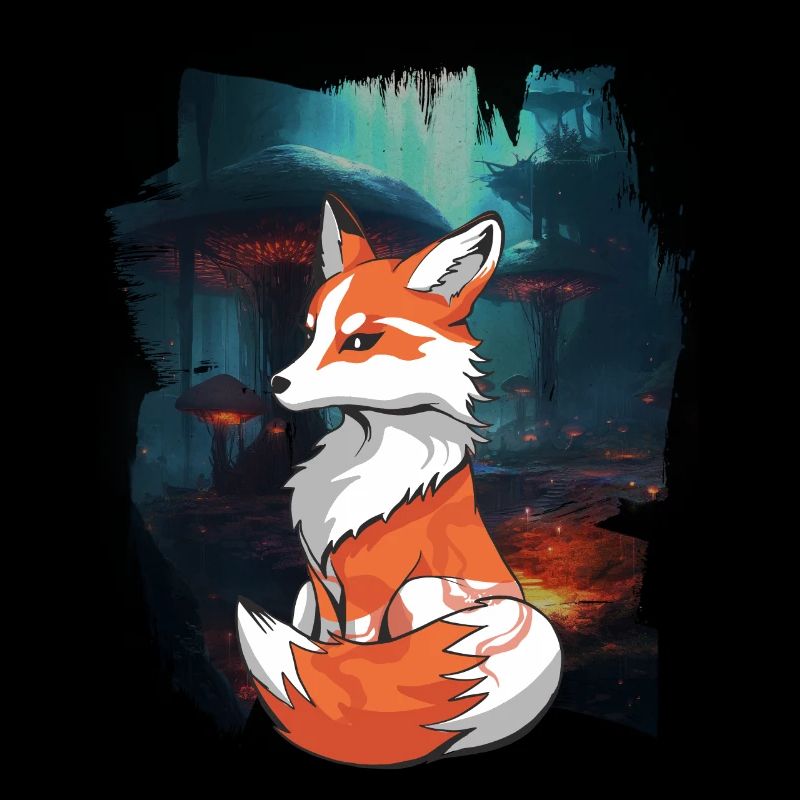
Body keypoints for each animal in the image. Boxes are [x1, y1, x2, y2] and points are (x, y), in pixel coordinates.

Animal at [237, 194, 562, 767]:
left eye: (360, 340)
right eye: (311, 334)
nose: (277, 383)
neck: (360, 461)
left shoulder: (373, 586)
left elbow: (354, 660)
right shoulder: (319, 580)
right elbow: (325, 651)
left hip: (423, 590)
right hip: (305, 593)